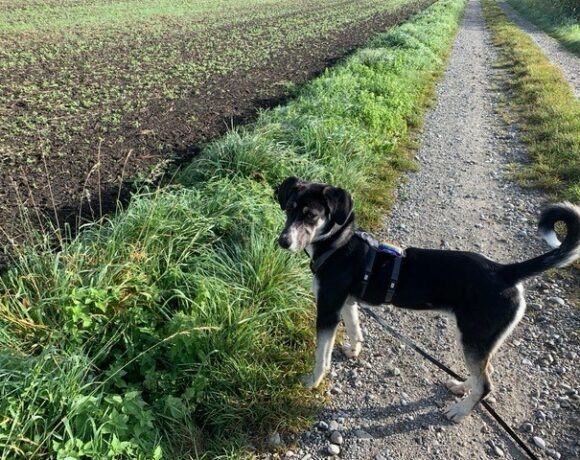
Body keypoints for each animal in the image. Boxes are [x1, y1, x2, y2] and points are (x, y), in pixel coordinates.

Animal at [276, 178, 580, 422]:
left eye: (311, 215)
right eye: (289, 208)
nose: (283, 242)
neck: (338, 244)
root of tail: (504, 271)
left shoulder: (327, 309)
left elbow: (321, 355)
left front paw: (312, 381)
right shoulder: (347, 303)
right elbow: (354, 329)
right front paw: (354, 350)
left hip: (473, 338)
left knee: (486, 385)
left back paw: (460, 411)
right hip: (481, 341)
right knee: (485, 371)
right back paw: (461, 387)